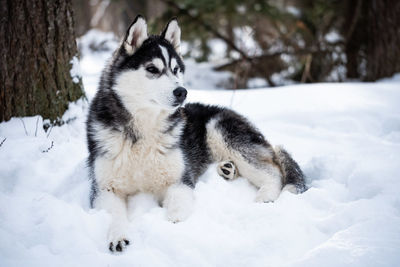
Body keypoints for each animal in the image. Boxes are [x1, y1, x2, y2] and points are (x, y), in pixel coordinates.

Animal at [86, 15, 306, 254]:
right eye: (152, 69)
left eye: (176, 69)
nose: (182, 92)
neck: (142, 134)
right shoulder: (104, 189)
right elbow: (113, 216)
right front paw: (118, 236)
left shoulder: (179, 181)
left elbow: (177, 209)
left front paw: (173, 227)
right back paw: (227, 169)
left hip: (220, 129)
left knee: (274, 172)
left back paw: (263, 198)